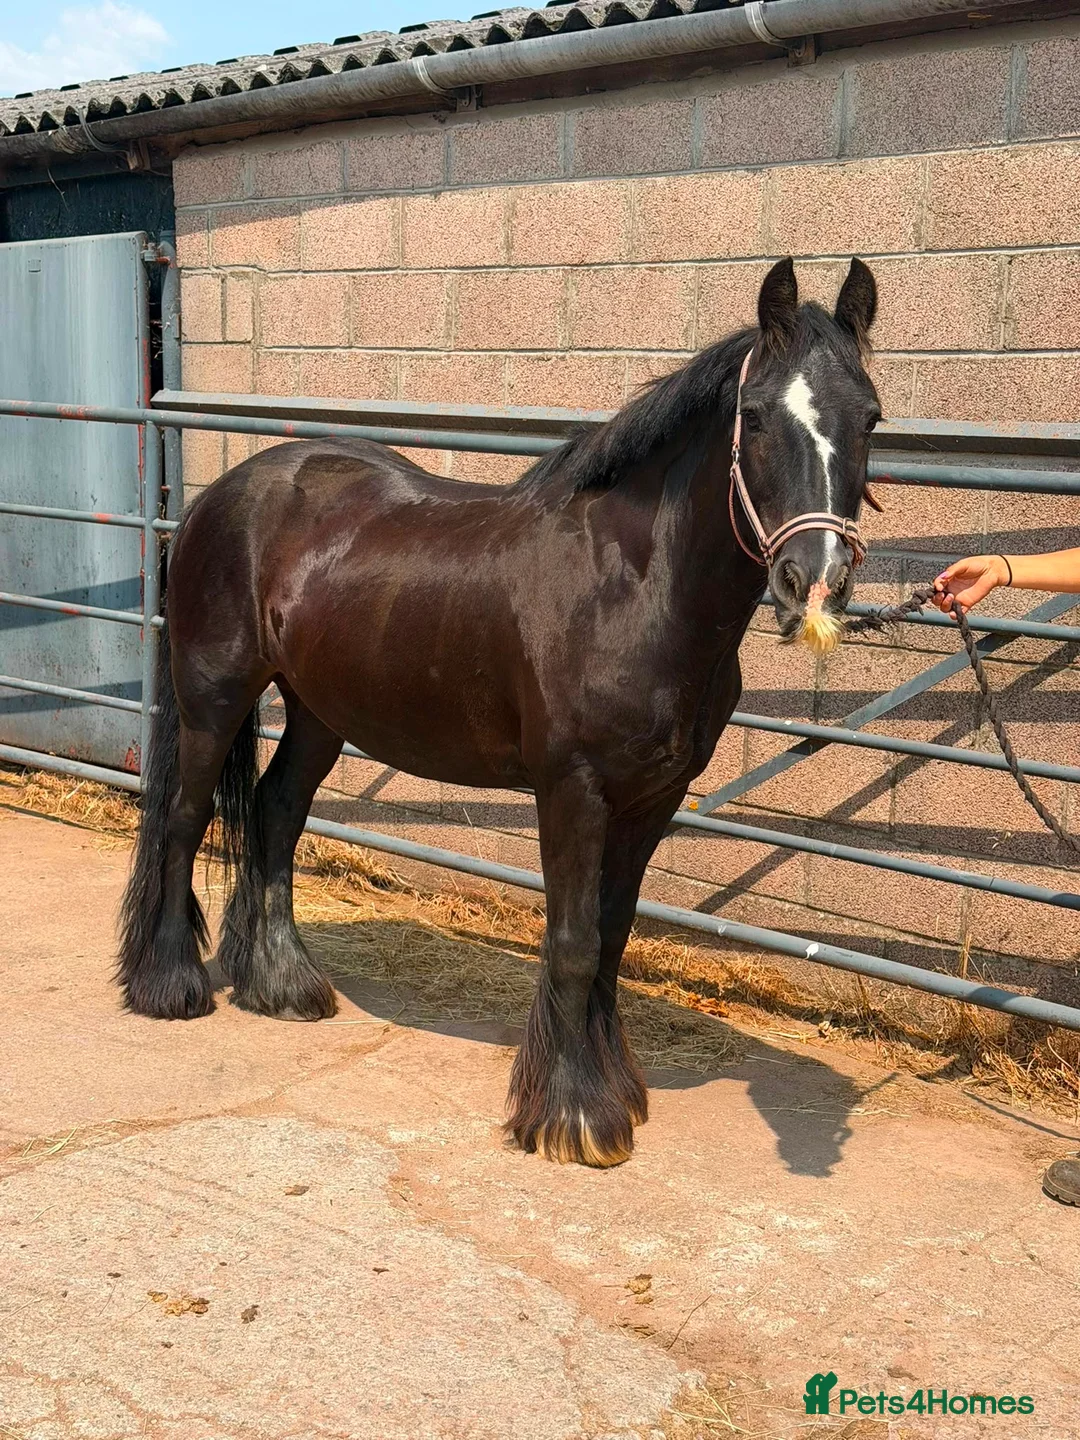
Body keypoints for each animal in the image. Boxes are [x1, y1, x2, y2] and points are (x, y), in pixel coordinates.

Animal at [119, 256, 881, 1168]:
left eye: (871, 417)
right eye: (757, 416)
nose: (816, 578)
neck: (631, 586)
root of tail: (222, 494)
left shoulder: (652, 800)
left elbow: (612, 934)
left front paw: (611, 1092)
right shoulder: (573, 790)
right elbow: (575, 940)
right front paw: (572, 1116)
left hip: (319, 712)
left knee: (274, 813)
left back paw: (283, 983)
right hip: (214, 695)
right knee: (183, 815)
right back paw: (169, 984)